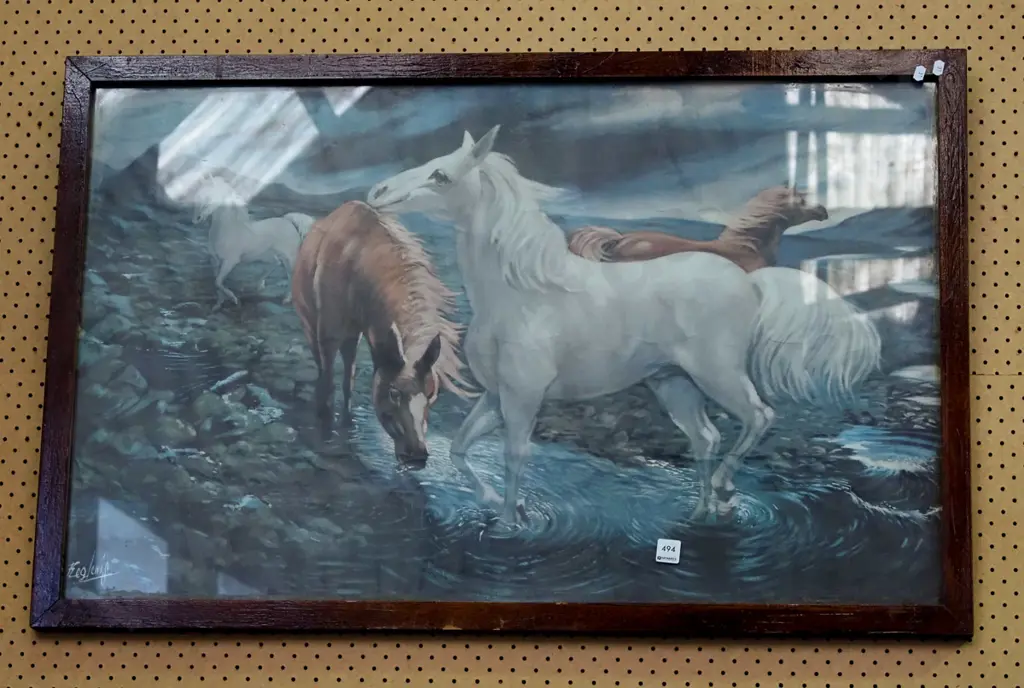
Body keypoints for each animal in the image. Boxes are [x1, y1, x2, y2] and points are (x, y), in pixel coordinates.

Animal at [190, 174, 317, 309]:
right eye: (197, 197)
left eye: (210, 199)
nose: (196, 219)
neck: (227, 230)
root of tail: (289, 222)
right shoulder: (214, 261)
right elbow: (217, 283)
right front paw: (218, 305)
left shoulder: (230, 262)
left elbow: (218, 282)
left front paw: (234, 299)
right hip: (268, 255)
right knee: (276, 263)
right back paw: (259, 285)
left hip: (289, 258)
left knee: (291, 275)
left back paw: (286, 299)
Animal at [290, 200, 474, 467]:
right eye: (394, 392)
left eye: (432, 393)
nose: (417, 455)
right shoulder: (328, 336)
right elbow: (329, 385)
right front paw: (325, 427)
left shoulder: (357, 335)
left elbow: (348, 384)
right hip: (312, 328)